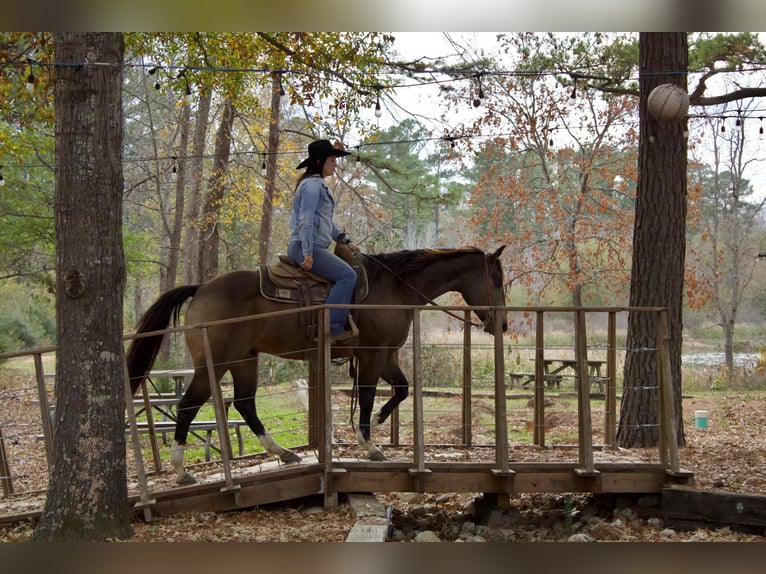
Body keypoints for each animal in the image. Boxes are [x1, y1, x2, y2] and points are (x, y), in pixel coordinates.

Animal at [128, 244, 508, 486]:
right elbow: (367, 395)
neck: (395, 287)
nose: (502, 324)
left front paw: (379, 421)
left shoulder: (386, 354)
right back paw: (181, 471)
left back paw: (283, 453)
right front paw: (369, 443)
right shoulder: (372, 353)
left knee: (245, 404)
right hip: (215, 363)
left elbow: (401, 388)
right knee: (188, 405)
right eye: (498, 280)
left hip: (245, 359)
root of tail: (201, 288)